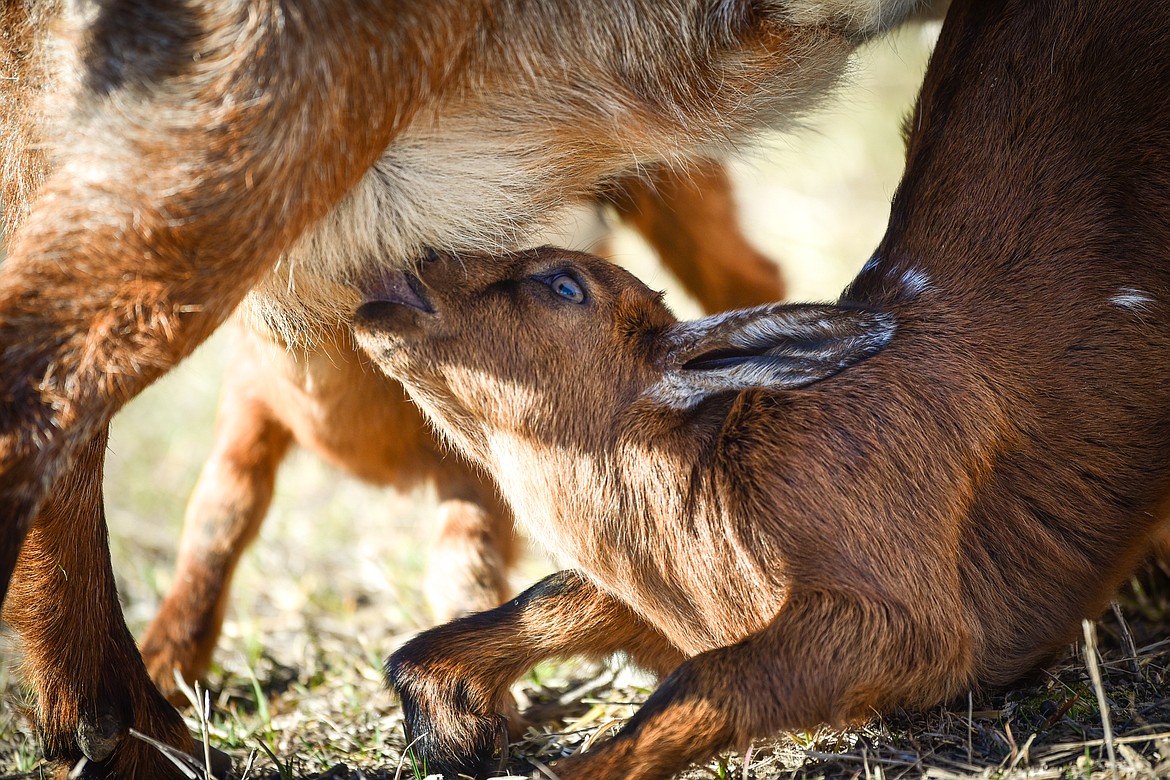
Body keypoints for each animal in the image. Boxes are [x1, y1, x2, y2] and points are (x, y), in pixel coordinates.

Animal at [351, 0, 1170, 776]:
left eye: (563, 283)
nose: (406, 272)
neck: (721, 513)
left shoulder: (911, 615)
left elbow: (706, 682)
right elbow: (529, 604)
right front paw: (459, 735)